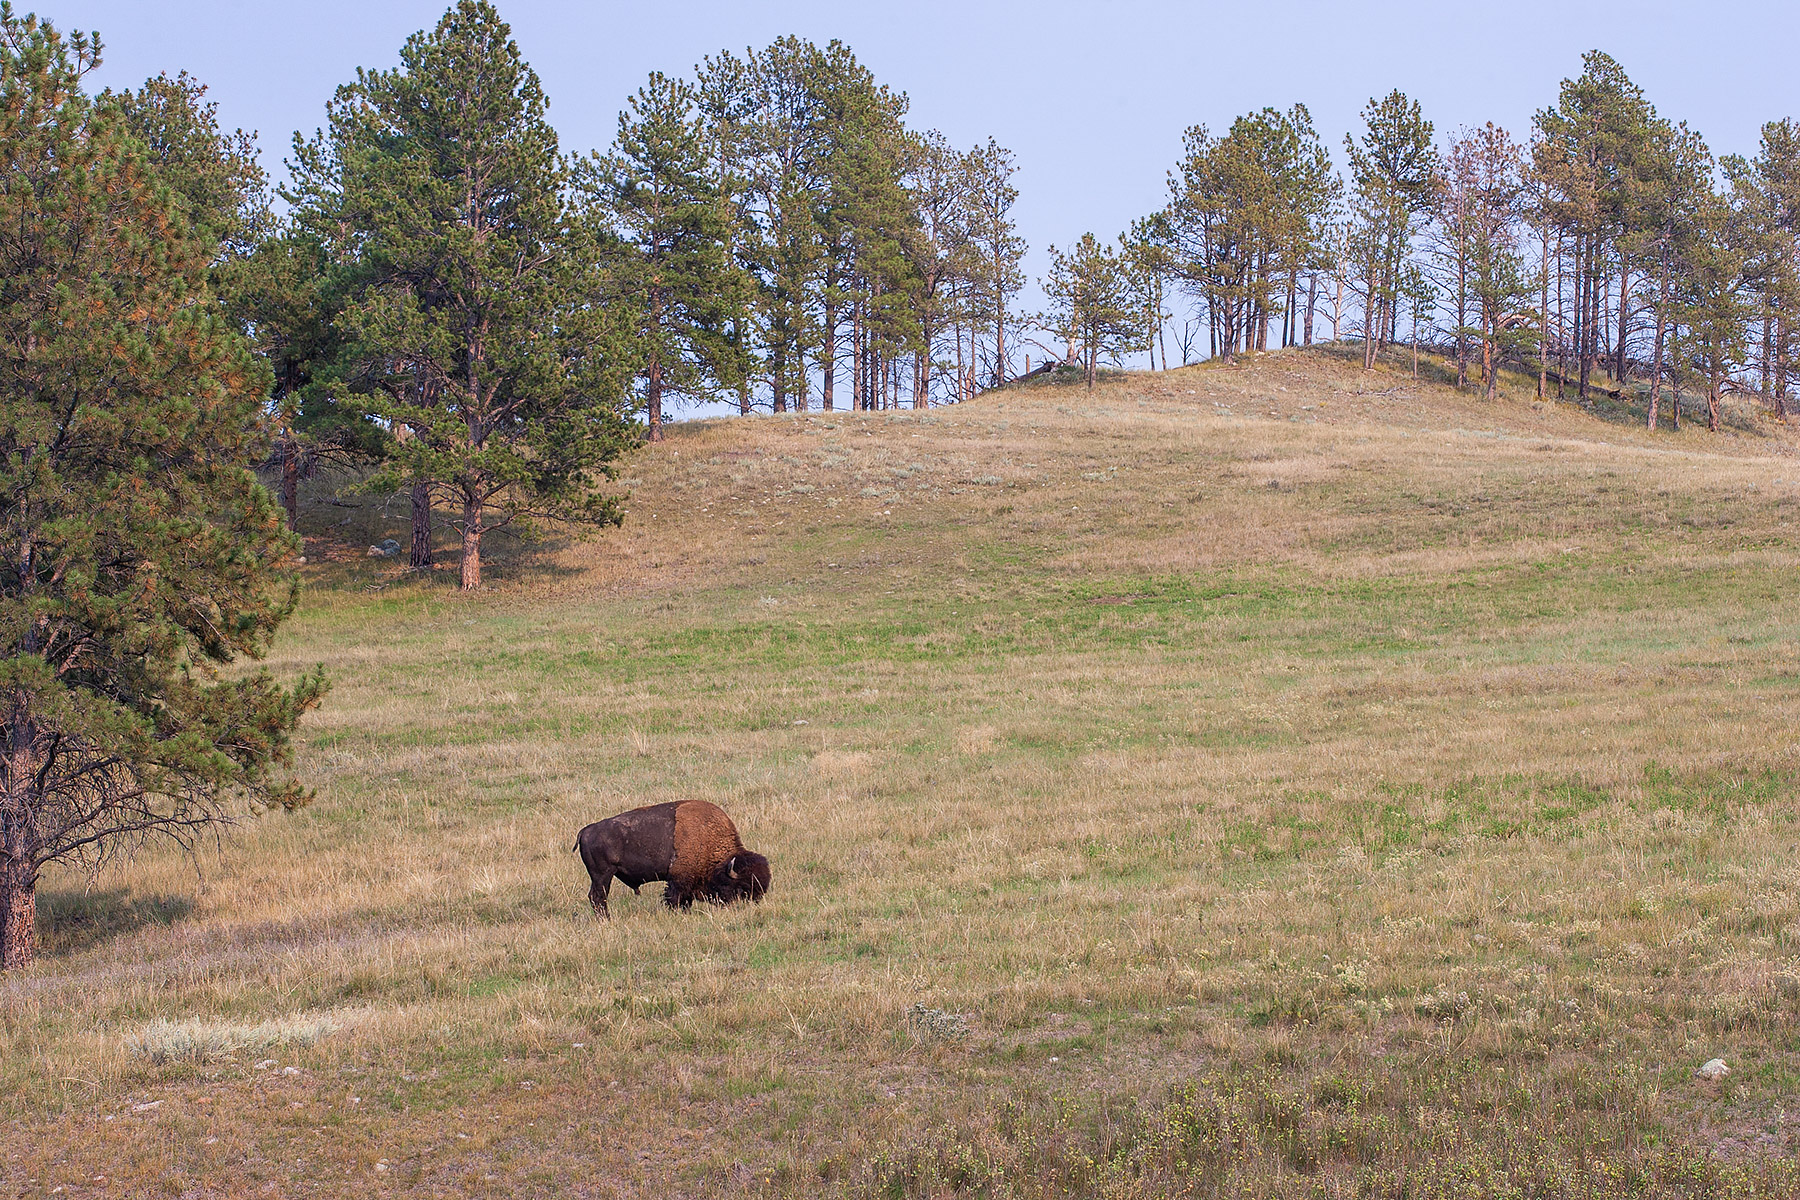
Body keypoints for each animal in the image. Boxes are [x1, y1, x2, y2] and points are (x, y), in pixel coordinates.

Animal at [574, 799, 770, 918]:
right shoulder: (678, 880)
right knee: (598, 897)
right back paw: (606, 919)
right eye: (743, 888)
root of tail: (586, 830)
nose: (751, 906)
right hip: (603, 875)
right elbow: (675, 899)